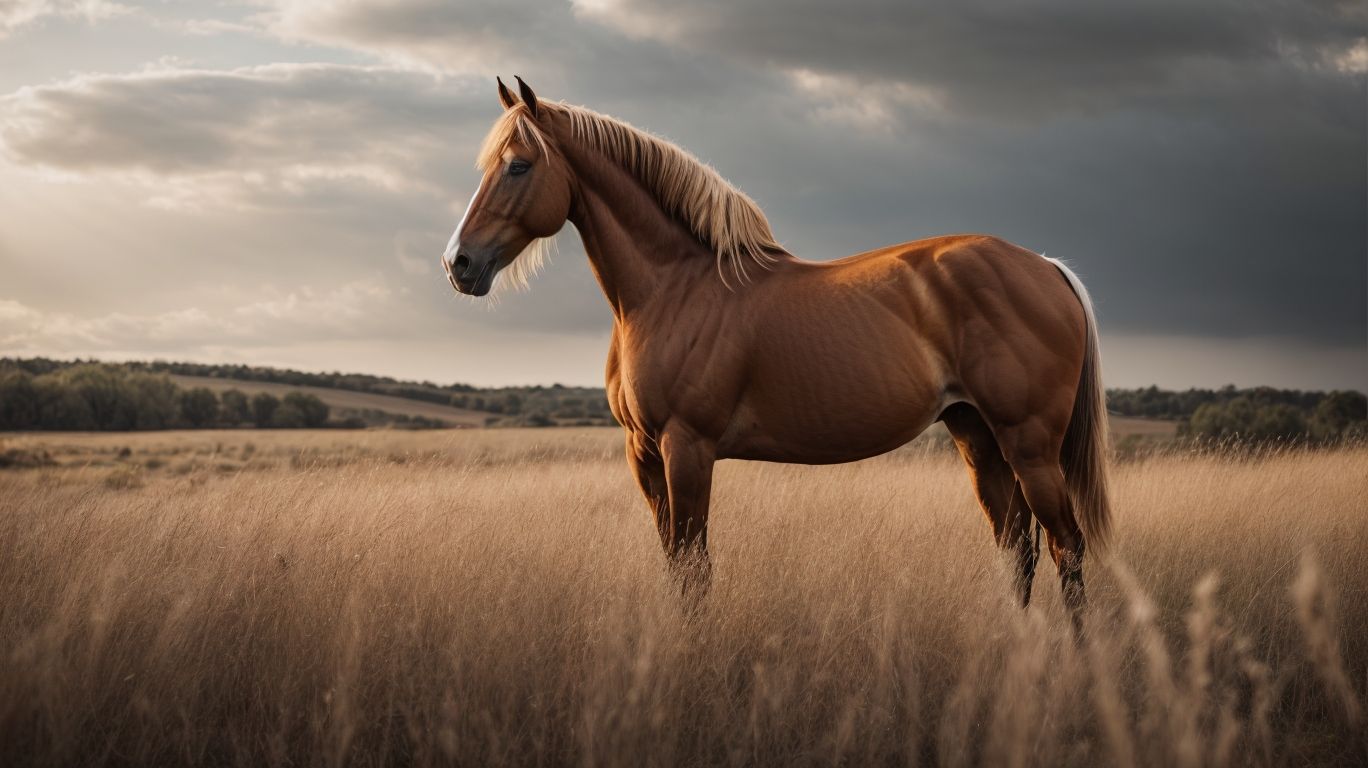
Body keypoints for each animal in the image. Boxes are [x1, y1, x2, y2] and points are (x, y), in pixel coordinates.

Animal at [441, 77, 1112, 621]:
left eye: (518, 165)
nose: (459, 263)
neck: (674, 288)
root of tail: (1047, 267)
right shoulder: (644, 454)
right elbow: (674, 565)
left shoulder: (687, 449)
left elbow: (694, 573)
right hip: (978, 437)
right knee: (1017, 549)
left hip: (1029, 445)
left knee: (1066, 548)